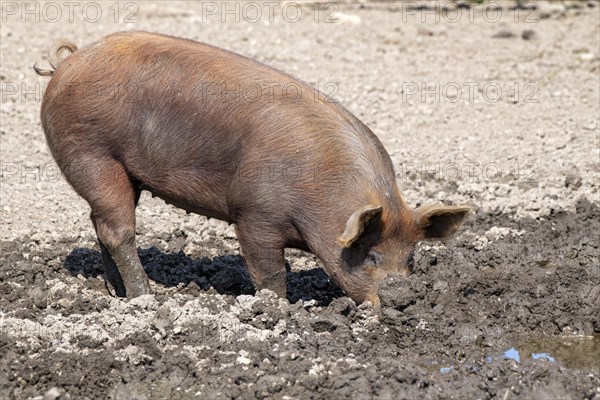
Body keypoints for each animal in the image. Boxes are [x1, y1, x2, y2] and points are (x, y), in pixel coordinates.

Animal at [35, 32, 472, 306]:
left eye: (411, 259)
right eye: (371, 256)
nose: (404, 300)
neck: (320, 199)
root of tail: (70, 61)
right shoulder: (255, 214)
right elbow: (270, 273)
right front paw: (280, 310)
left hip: (125, 172)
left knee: (99, 224)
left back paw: (117, 293)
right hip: (90, 153)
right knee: (117, 229)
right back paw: (145, 298)